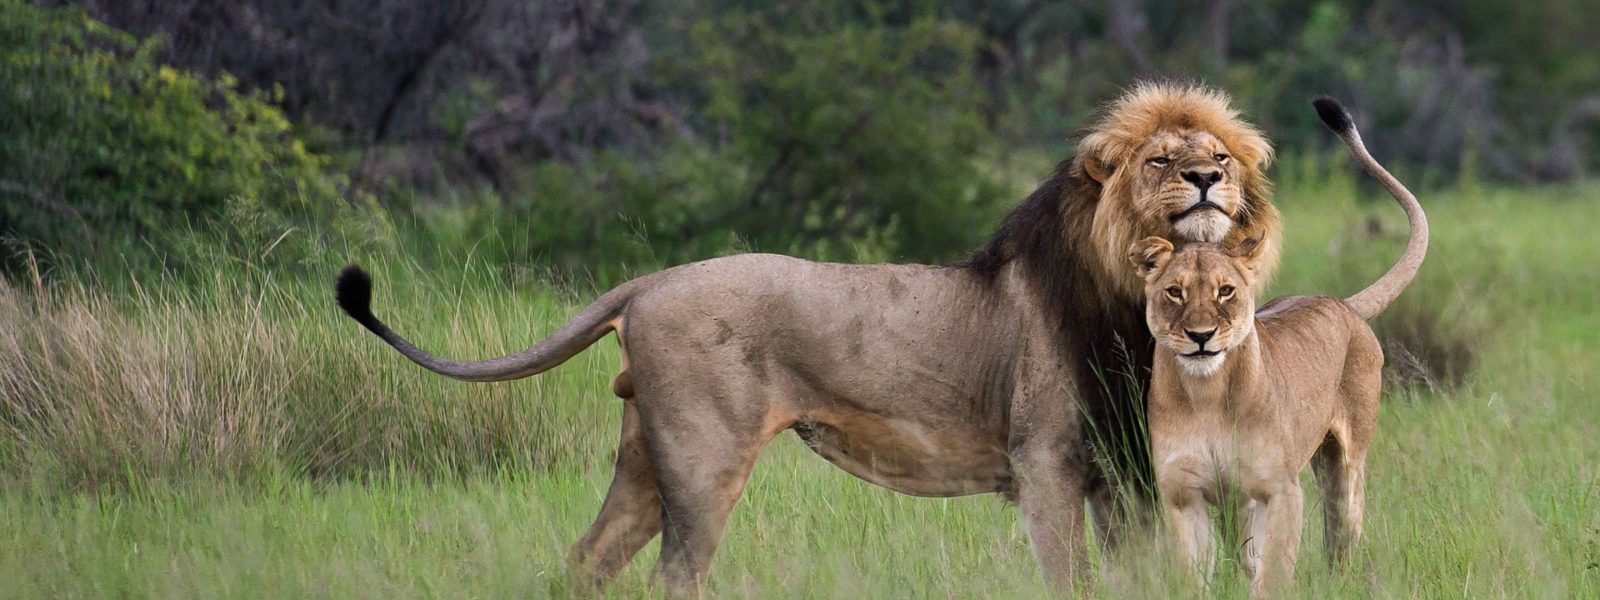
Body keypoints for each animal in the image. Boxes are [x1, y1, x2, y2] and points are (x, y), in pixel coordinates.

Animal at [334, 82, 1282, 596]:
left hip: (643, 457)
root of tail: (648, 283)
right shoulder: (1045, 466)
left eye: (1219, 156)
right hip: (704, 455)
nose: (1207, 175)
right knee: (675, 573)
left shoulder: (1123, 472)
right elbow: (1071, 580)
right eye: (1160, 160)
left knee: (586, 560)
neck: (1133, 297)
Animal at [1127, 98, 1426, 595]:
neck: (1207, 394)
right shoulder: (1183, 497)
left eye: (1226, 291)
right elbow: (1196, 575)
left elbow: (1272, 575)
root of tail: (1340, 302)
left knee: (1342, 535)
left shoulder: (1280, 490)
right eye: (1174, 292)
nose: (1201, 336)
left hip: (1344, 467)